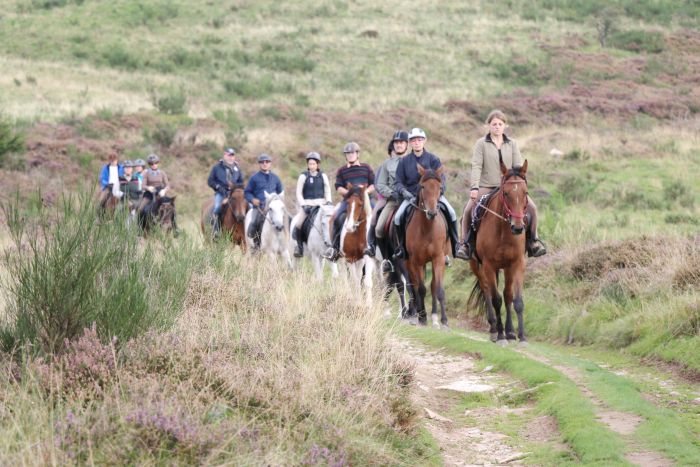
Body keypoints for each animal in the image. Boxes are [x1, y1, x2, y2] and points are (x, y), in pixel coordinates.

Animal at [404, 166, 448, 328]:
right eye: (423, 186)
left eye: (440, 188)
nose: (432, 212)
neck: (427, 229)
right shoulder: (416, 261)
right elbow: (421, 289)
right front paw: (422, 317)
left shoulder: (438, 259)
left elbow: (439, 289)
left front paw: (444, 321)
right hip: (409, 263)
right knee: (414, 287)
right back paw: (417, 314)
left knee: (433, 285)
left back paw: (434, 317)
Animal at [470, 160, 532, 344]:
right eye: (506, 193)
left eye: (525, 192)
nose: (518, 227)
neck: (504, 231)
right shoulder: (489, 266)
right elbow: (496, 299)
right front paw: (500, 335)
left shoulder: (517, 264)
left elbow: (515, 299)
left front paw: (520, 336)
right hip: (476, 265)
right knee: (486, 290)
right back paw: (493, 329)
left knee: (507, 294)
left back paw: (509, 331)